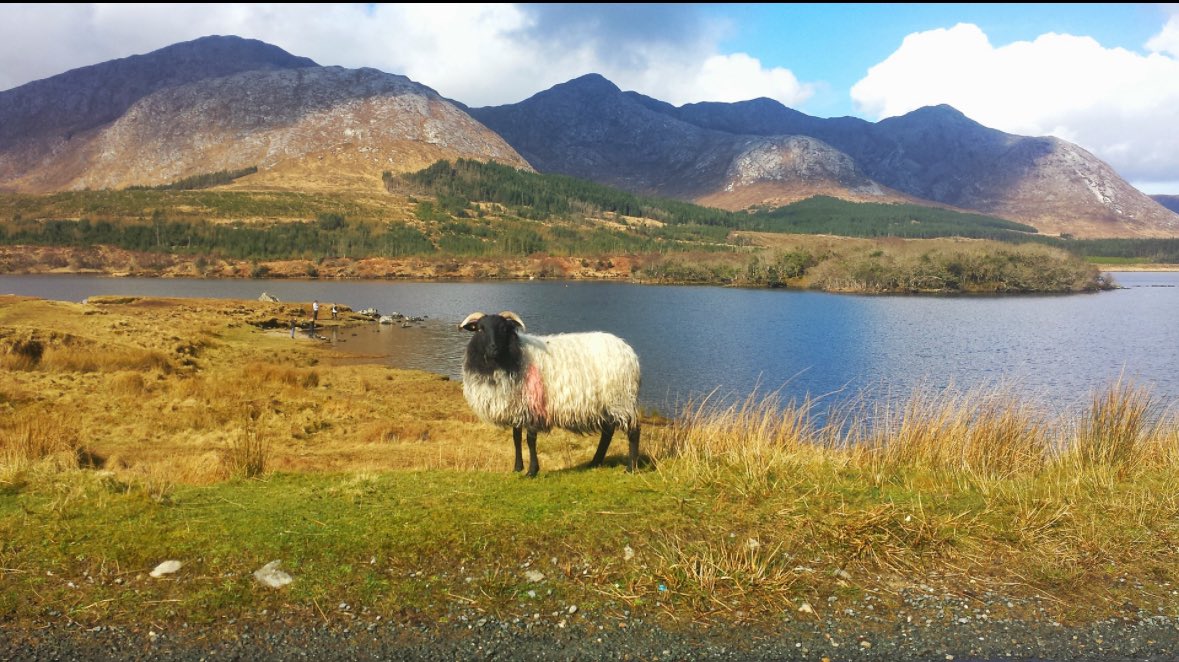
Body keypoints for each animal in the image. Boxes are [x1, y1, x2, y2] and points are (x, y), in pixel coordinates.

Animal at [459, 311, 641, 477]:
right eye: (480, 329)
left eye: (503, 328)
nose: (493, 348)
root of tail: (627, 350)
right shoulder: (517, 406)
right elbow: (516, 438)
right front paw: (517, 468)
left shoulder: (533, 406)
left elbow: (530, 440)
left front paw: (532, 471)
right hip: (607, 403)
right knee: (607, 433)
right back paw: (595, 462)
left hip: (620, 398)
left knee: (633, 430)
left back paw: (630, 468)